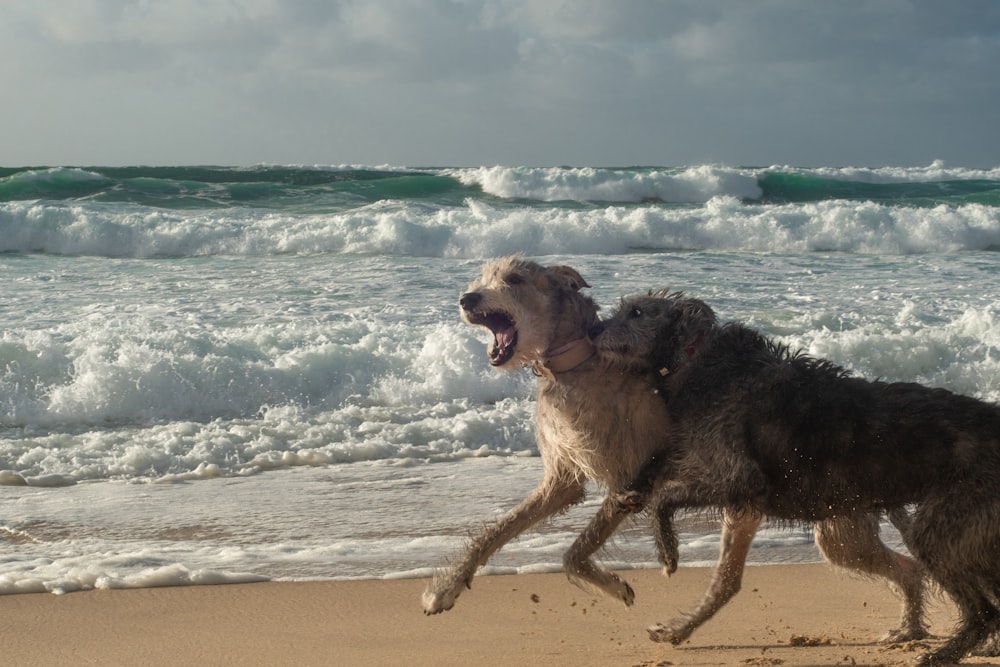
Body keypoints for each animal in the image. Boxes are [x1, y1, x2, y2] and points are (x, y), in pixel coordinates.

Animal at [588, 292, 1000, 667]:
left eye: (636, 311)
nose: (594, 329)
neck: (699, 362)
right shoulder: (736, 501)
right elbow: (722, 576)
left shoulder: (739, 477)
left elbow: (667, 500)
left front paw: (667, 552)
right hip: (855, 532)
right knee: (914, 570)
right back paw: (915, 631)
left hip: (947, 522)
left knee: (981, 609)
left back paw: (943, 654)